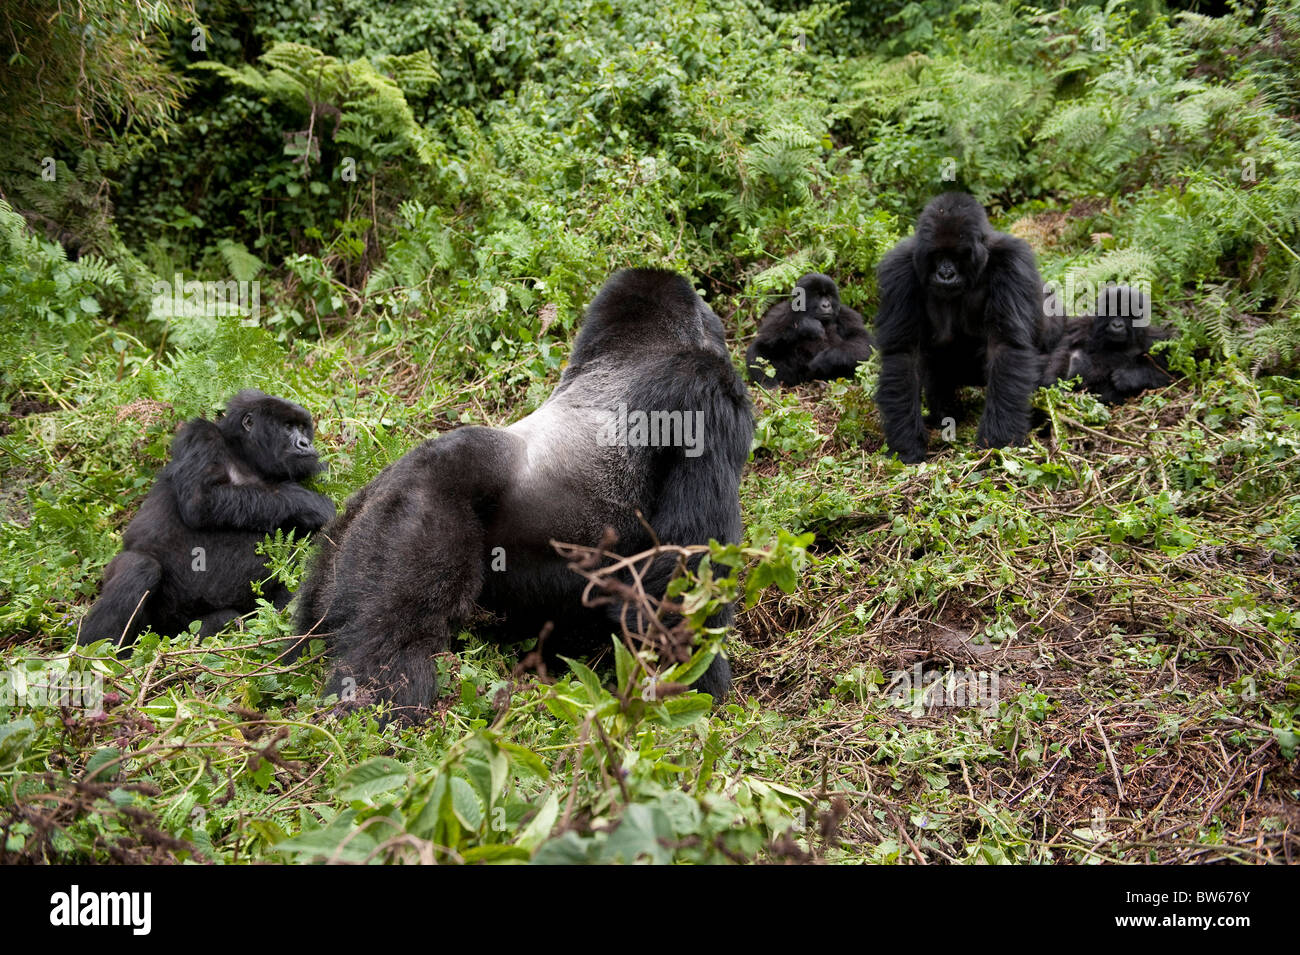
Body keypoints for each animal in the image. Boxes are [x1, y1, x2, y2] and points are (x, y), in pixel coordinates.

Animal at [79, 389, 335, 649]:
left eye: (302, 428)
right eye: (288, 426)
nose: (306, 443)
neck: (246, 457)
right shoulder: (200, 435)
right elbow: (201, 500)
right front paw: (310, 502)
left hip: (179, 633)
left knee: (222, 619)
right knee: (139, 566)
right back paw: (103, 652)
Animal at [296, 267, 759, 717]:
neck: (628, 351)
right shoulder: (709, 393)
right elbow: (686, 559)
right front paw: (693, 682)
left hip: (344, 541)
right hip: (418, 510)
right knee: (395, 637)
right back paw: (377, 698)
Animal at [743, 270, 873, 387]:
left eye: (829, 296)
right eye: (817, 296)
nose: (826, 305)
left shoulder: (846, 314)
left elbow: (862, 342)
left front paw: (825, 359)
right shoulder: (780, 313)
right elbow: (766, 340)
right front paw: (806, 326)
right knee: (757, 349)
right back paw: (769, 384)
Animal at [873, 192, 1055, 462]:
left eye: (958, 256)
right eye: (937, 255)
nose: (945, 274)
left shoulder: (1013, 262)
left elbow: (1005, 345)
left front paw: (997, 439)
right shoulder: (899, 269)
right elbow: (904, 354)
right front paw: (907, 443)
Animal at [1040, 283, 1175, 402]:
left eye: (1127, 314)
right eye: (1112, 311)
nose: (1117, 325)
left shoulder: (1154, 340)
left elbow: (1167, 376)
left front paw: (1129, 377)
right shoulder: (1079, 326)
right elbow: (1063, 353)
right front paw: (1055, 386)